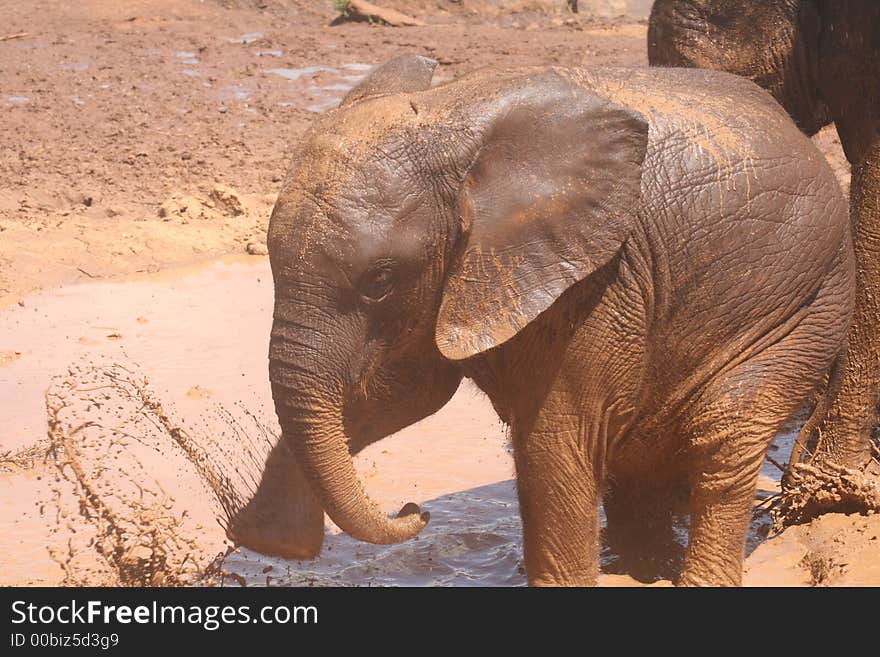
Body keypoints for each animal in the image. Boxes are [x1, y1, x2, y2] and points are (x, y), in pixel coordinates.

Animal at [230, 55, 856, 584]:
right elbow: (400, 394)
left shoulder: (599, 278)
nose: (414, 508)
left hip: (810, 304)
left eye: (380, 280)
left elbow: (555, 443)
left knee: (723, 431)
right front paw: (269, 538)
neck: (453, 116)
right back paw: (636, 566)